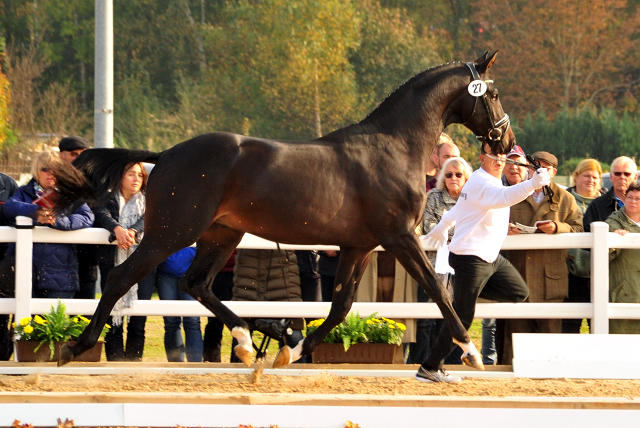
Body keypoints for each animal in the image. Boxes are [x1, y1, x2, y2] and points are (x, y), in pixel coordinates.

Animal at [55, 51, 516, 368]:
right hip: (174, 231)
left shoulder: (360, 247)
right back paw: (76, 346)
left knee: (196, 283)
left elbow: (341, 305)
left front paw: (292, 351)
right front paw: (470, 351)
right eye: (491, 93)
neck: (394, 146)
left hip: (222, 234)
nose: (506, 143)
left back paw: (247, 340)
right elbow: (438, 290)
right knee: (122, 278)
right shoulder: (399, 237)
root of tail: (164, 155)